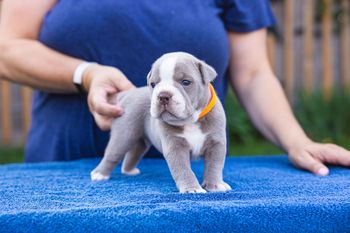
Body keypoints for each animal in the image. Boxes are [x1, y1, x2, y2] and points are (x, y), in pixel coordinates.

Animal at [91, 52, 231, 193]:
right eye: (153, 84)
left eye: (186, 82)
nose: (163, 95)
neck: (191, 121)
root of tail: (128, 94)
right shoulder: (175, 147)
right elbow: (183, 169)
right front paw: (192, 189)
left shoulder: (216, 143)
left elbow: (214, 166)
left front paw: (215, 185)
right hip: (124, 134)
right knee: (112, 154)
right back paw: (99, 174)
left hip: (139, 140)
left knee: (135, 151)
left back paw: (129, 171)